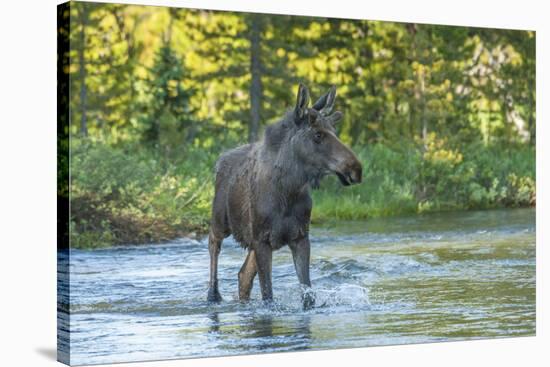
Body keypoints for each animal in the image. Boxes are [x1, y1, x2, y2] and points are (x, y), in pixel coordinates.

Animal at [207, 85, 362, 310]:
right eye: (317, 135)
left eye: (335, 132)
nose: (356, 169)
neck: (288, 192)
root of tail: (220, 160)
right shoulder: (262, 240)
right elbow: (268, 295)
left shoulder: (299, 237)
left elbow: (308, 295)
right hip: (221, 220)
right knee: (213, 243)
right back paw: (213, 294)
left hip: (253, 240)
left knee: (243, 275)